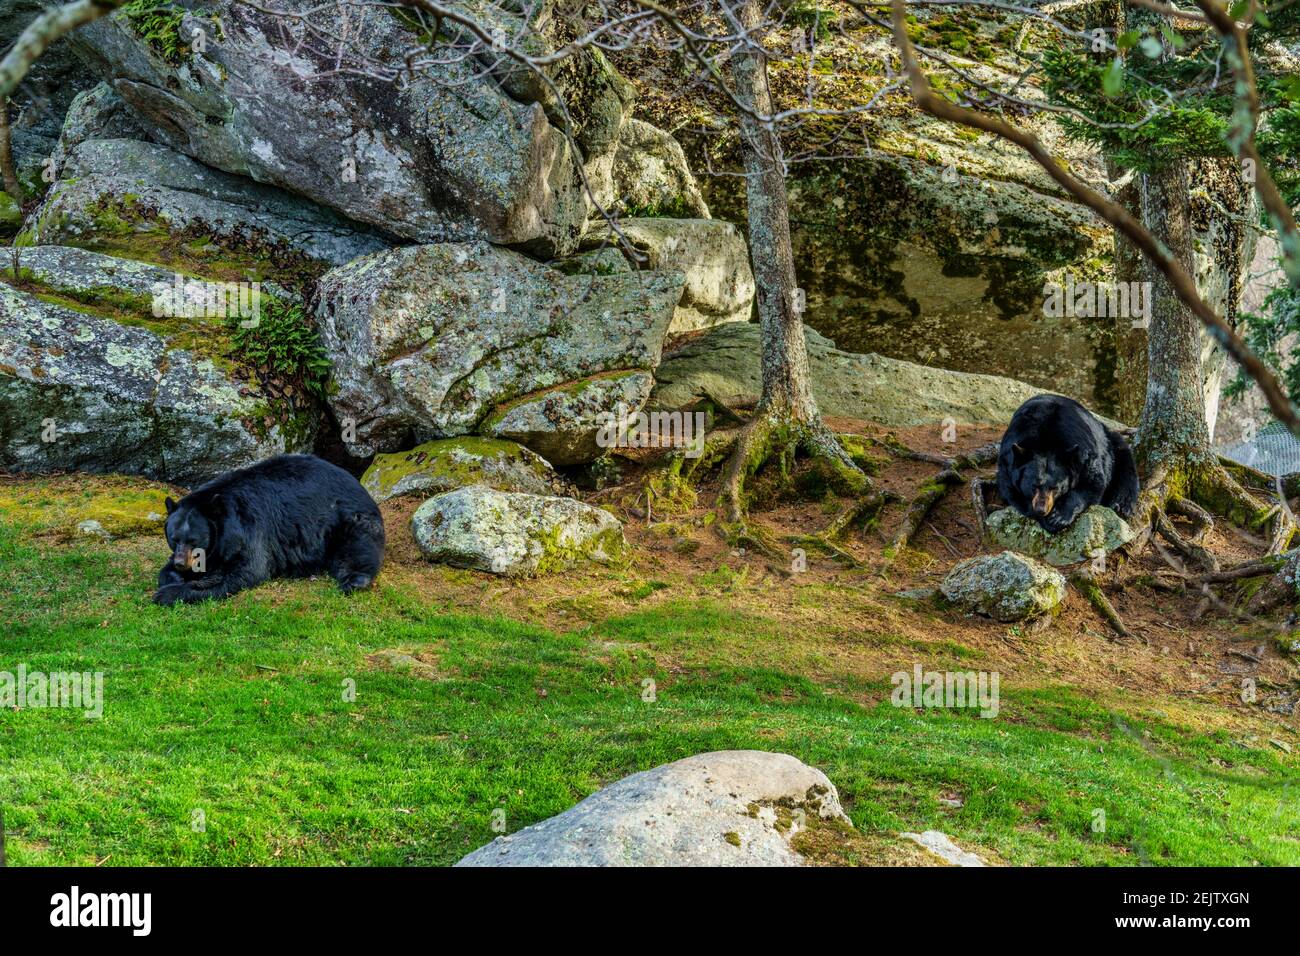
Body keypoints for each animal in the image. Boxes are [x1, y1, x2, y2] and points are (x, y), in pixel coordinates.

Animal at [154, 455, 382, 606]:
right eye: (173, 539)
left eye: (194, 540)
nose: (181, 563)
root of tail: (357, 483)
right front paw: (173, 576)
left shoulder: (251, 528)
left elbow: (245, 571)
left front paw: (168, 593)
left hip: (346, 517)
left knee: (357, 547)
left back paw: (355, 580)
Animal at [993, 392, 1138, 535]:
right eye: (1034, 486)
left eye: (1055, 488)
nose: (1041, 509)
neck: (1045, 441)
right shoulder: (1007, 462)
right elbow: (1013, 493)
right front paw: (1046, 519)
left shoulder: (1084, 454)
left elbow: (1093, 483)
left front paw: (1059, 517)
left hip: (1112, 445)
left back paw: (1121, 505)